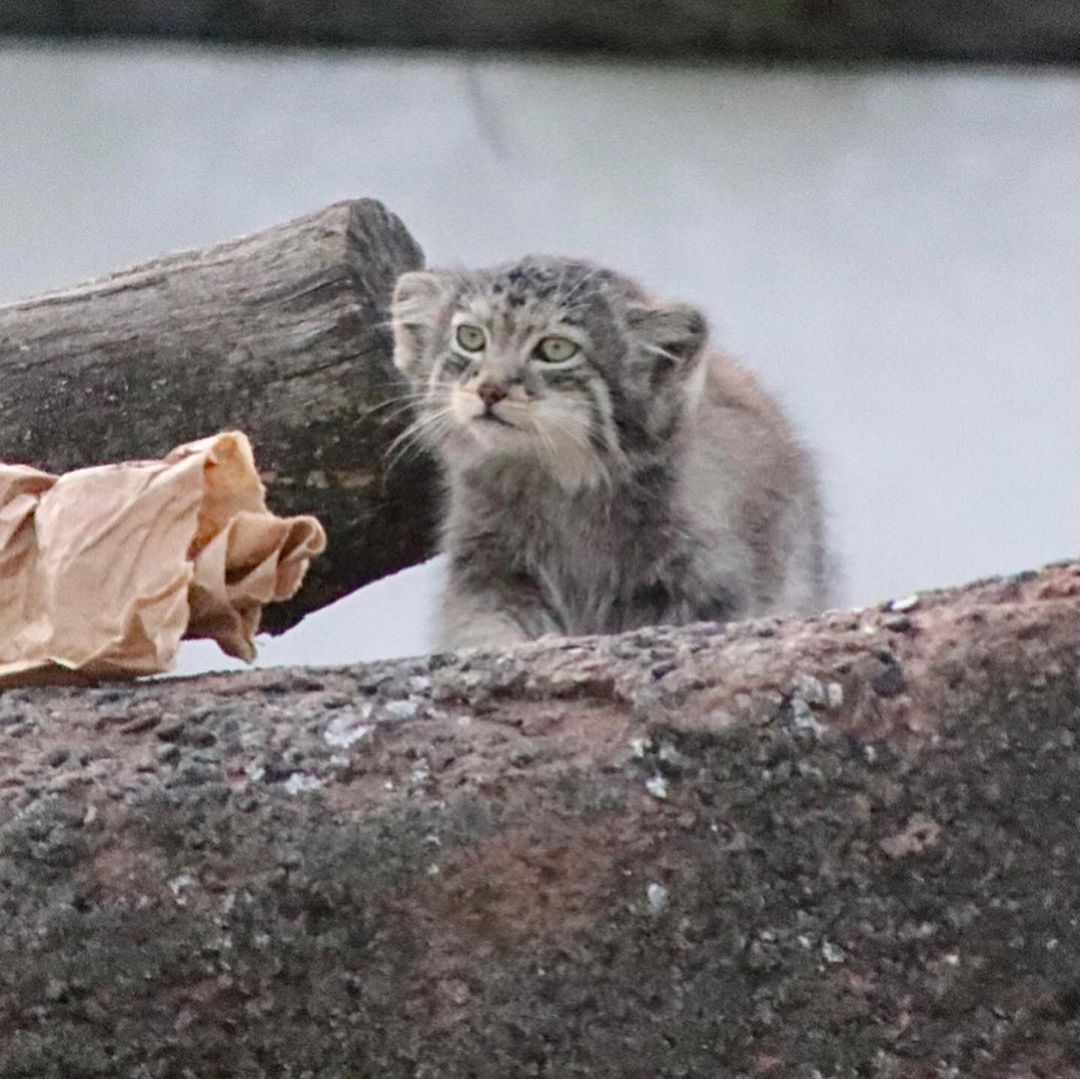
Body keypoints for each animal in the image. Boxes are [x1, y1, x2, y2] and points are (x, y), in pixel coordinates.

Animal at [393, 259, 829, 648]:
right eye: (470, 338)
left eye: (555, 349)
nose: (489, 390)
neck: (560, 483)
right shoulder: (489, 568)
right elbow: (487, 631)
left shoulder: (704, 581)